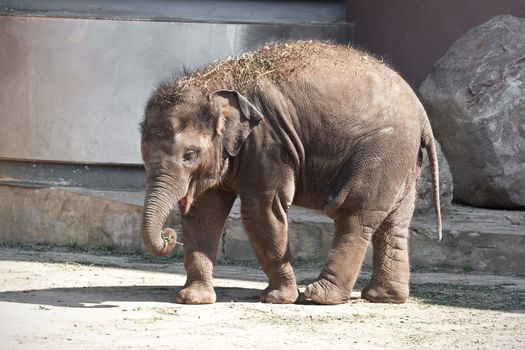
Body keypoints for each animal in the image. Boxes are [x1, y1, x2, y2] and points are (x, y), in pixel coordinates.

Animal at [140, 40, 442, 304]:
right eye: (142, 158)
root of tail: (421, 112)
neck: (214, 82)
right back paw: (384, 297)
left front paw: (278, 299)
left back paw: (320, 296)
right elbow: (204, 213)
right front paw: (193, 299)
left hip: (382, 151)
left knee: (352, 212)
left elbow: (261, 211)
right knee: (394, 222)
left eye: (189, 155)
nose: (168, 235)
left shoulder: (268, 144)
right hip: (404, 161)